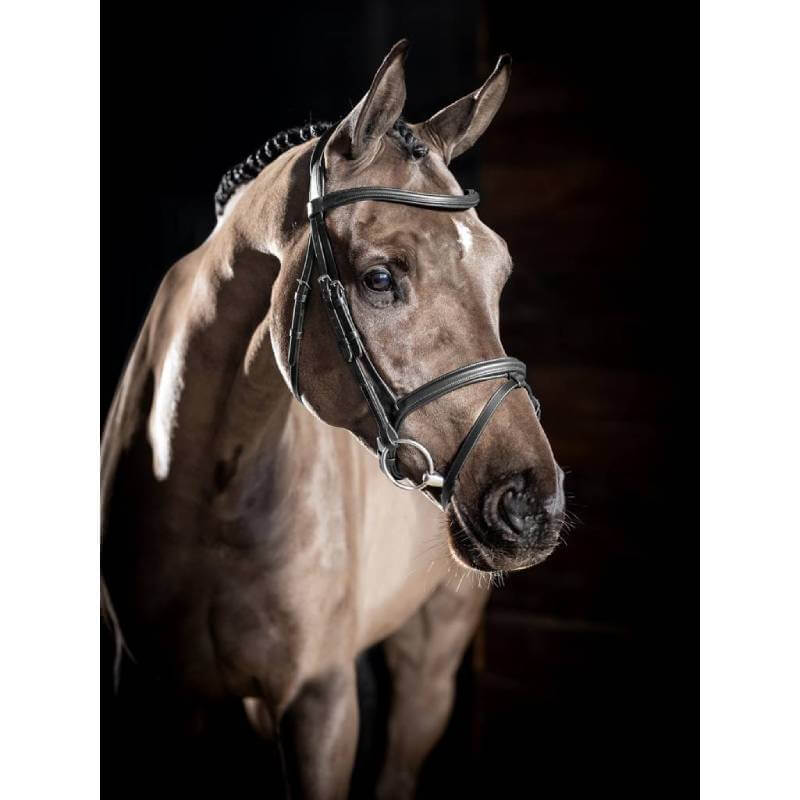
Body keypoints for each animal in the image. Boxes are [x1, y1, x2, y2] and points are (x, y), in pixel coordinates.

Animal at [101, 39, 565, 799]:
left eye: (500, 273)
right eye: (380, 277)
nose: (531, 502)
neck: (208, 485)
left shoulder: (320, 704)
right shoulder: (159, 698)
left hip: (430, 662)